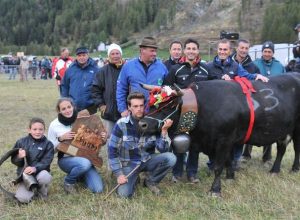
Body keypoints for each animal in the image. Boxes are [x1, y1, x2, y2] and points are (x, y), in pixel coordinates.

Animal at [138, 73, 300, 197]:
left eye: (169, 106)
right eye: (151, 105)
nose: (142, 124)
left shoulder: (224, 140)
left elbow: (218, 166)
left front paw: (215, 190)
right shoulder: (223, 141)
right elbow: (228, 161)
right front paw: (230, 178)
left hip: (297, 128)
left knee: (296, 149)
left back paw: (294, 168)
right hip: (284, 129)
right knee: (281, 148)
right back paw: (275, 170)